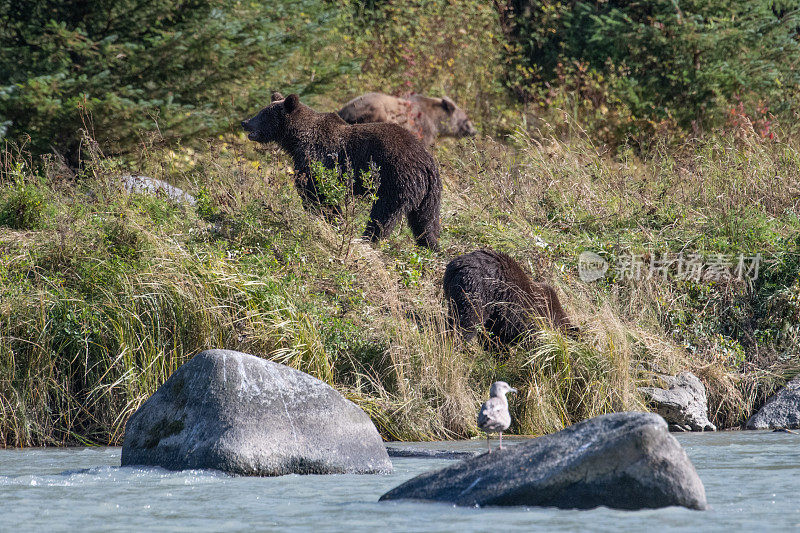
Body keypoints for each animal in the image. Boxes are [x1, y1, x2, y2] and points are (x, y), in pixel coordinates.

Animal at [244, 93, 444, 249]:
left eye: (263, 114)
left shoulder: (318, 160)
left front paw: (333, 222)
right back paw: (430, 247)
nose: (245, 122)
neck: (295, 140)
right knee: (426, 222)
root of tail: (426, 163)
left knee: (383, 215)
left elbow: (317, 194)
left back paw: (367, 240)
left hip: (395, 180)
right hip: (430, 194)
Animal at [440, 248, 580, 344]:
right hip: (476, 292)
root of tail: (456, 267)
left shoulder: (499, 319)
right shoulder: (527, 316)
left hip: (453, 294)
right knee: (468, 322)